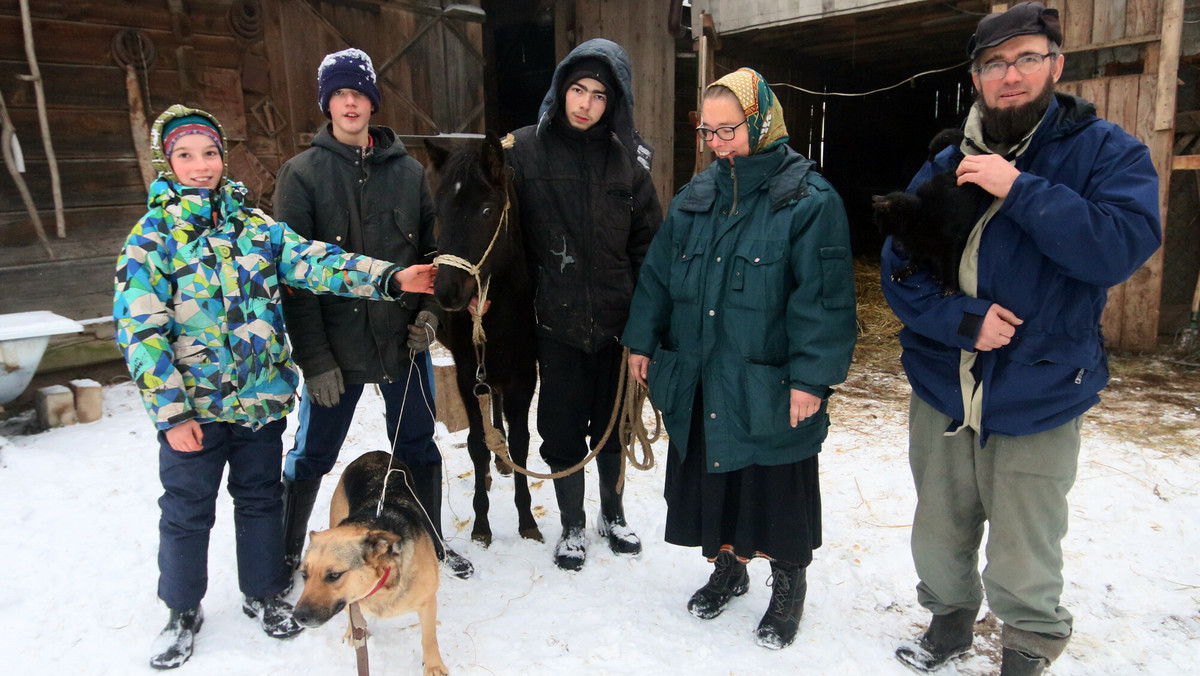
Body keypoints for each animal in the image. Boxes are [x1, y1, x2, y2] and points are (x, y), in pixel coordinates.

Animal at [295, 449, 451, 676]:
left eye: (334, 575)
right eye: (304, 574)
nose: (298, 617)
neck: (381, 583)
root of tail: (373, 453)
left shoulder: (427, 601)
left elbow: (429, 638)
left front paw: (434, 666)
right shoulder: (350, 600)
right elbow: (352, 615)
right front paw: (353, 633)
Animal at [424, 133, 542, 549]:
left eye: (488, 210)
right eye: (439, 211)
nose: (447, 291)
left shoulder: (525, 372)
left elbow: (521, 441)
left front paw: (527, 521)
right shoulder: (465, 373)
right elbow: (476, 444)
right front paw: (481, 525)